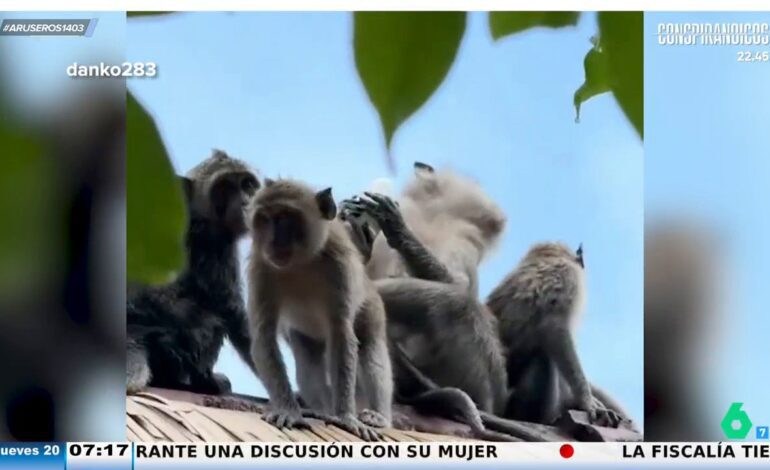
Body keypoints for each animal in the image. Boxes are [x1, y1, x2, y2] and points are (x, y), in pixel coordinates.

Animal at [126, 149, 258, 394]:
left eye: (247, 184)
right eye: (224, 188)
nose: (246, 202)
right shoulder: (216, 247)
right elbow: (235, 316)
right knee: (208, 319)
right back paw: (204, 381)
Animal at [246, 178, 390, 442]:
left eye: (286, 218)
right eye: (265, 219)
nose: (274, 241)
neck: (302, 262)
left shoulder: (340, 265)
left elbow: (342, 334)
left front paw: (346, 417)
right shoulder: (261, 267)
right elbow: (264, 335)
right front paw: (288, 410)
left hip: (373, 307)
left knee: (371, 349)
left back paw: (379, 416)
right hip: (304, 333)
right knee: (307, 357)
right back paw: (321, 410)